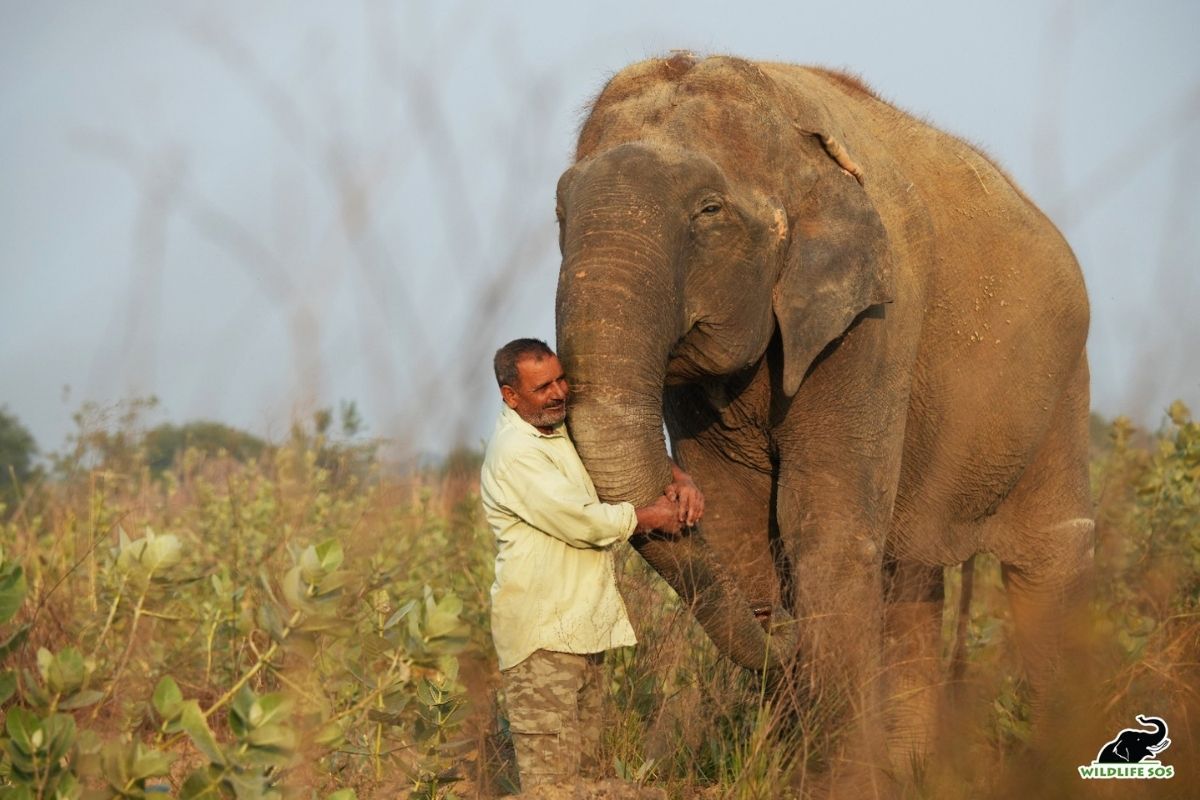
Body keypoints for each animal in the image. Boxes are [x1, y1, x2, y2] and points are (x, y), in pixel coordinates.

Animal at [552, 53, 1095, 790]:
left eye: (708, 212)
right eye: (558, 215)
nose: (784, 638)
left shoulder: (875, 323)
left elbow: (824, 527)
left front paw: (835, 782)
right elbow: (740, 529)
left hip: (1062, 385)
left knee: (1048, 563)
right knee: (910, 576)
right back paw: (911, 773)